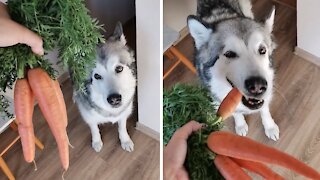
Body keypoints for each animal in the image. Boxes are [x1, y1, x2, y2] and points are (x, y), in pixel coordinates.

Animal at [74, 22, 136, 152]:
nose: (114, 99)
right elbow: (94, 128)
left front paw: (125, 140)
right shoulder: (88, 114)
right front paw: (96, 141)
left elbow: (122, 126)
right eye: (97, 76)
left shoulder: (125, 110)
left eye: (119, 68)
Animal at [188, 0, 280, 141]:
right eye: (229, 54)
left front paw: (270, 127)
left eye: (262, 50)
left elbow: (264, 109)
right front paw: (240, 124)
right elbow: (235, 111)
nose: (258, 86)